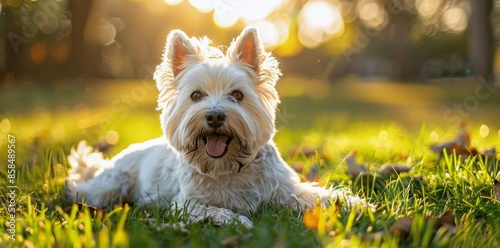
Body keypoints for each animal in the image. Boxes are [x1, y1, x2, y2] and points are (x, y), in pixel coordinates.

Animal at [65, 27, 372, 227]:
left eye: (237, 95)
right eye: (196, 96)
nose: (214, 117)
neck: (226, 167)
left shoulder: (285, 190)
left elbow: (319, 196)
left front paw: (356, 204)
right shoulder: (185, 203)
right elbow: (213, 210)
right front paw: (237, 220)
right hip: (111, 183)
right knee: (83, 187)